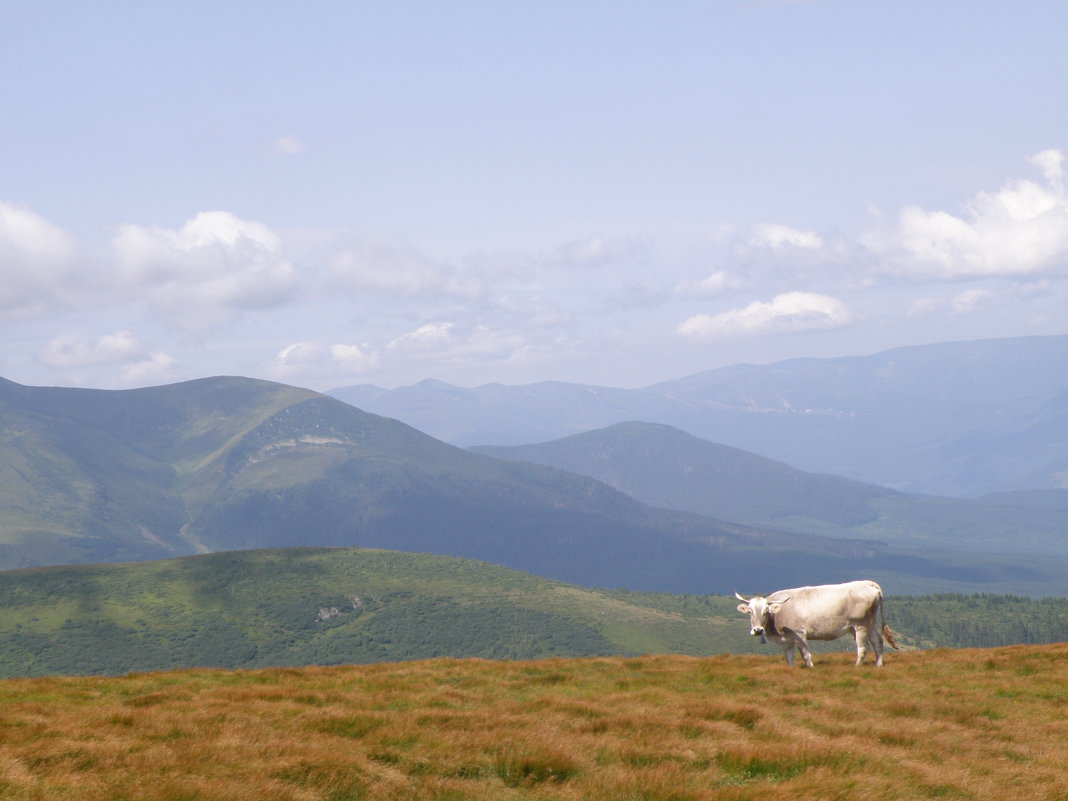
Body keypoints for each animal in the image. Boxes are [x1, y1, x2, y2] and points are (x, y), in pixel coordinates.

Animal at [734, 580, 901, 666]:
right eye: (750, 612)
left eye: (765, 611)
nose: (757, 630)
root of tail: (867, 583)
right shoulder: (787, 642)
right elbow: (789, 660)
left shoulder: (799, 634)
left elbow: (806, 656)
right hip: (869, 623)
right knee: (878, 642)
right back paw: (878, 665)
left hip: (860, 625)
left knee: (863, 647)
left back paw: (857, 667)